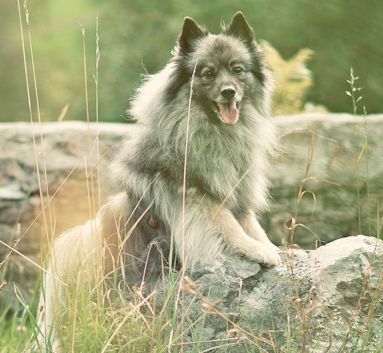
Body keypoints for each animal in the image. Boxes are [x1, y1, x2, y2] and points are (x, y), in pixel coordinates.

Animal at [33, 11, 282, 350]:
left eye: (238, 69)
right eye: (207, 73)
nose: (229, 91)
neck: (216, 131)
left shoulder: (238, 197)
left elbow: (250, 225)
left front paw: (269, 246)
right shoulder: (193, 195)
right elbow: (227, 223)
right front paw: (258, 250)